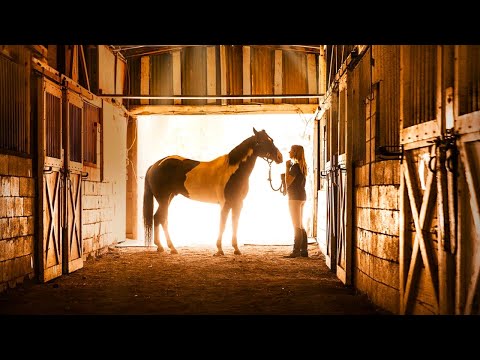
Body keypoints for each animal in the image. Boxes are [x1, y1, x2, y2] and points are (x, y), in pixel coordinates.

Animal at [143, 128, 284, 255]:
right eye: (263, 141)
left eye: (271, 139)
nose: (280, 157)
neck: (232, 170)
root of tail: (154, 165)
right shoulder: (225, 204)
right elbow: (223, 224)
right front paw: (219, 249)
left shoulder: (238, 203)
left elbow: (235, 223)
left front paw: (236, 249)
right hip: (163, 199)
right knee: (162, 218)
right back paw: (171, 248)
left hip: (168, 198)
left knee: (158, 218)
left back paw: (162, 247)